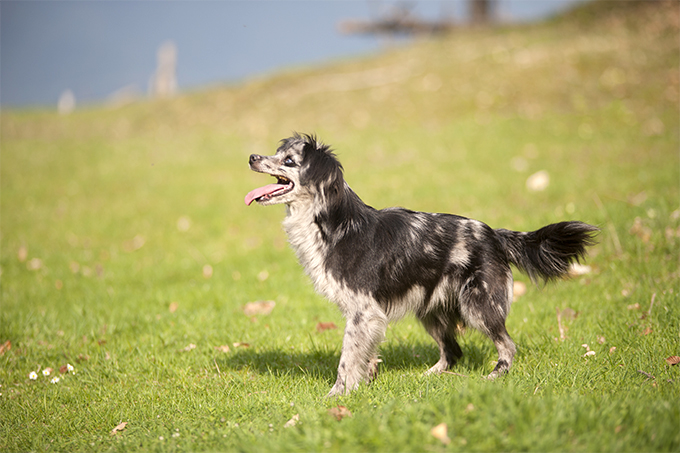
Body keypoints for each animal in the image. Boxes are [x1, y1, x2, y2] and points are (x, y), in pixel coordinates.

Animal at [244, 134, 596, 396]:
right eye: (277, 153)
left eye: (289, 161)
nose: (251, 156)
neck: (334, 224)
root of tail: (495, 234)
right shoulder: (368, 316)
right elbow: (363, 356)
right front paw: (364, 383)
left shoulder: (363, 312)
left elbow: (347, 360)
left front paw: (337, 396)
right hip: (431, 311)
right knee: (453, 352)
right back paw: (428, 377)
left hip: (478, 306)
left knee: (507, 345)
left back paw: (495, 376)